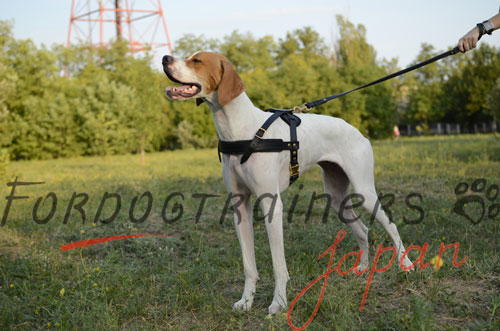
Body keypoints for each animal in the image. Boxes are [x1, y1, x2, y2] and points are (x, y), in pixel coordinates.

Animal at [162, 51, 412, 314]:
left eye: (196, 60)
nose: (164, 58)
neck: (241, 130)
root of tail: (357, 130)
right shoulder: (240, 207)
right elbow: (249, 265)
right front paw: (246, 301)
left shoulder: (272, 205)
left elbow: (278, 265)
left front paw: (279, 303)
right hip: (337, 200)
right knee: (363, 230)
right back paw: (363, 267)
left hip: (365, 192)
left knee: (391, 226)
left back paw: (406, 264)